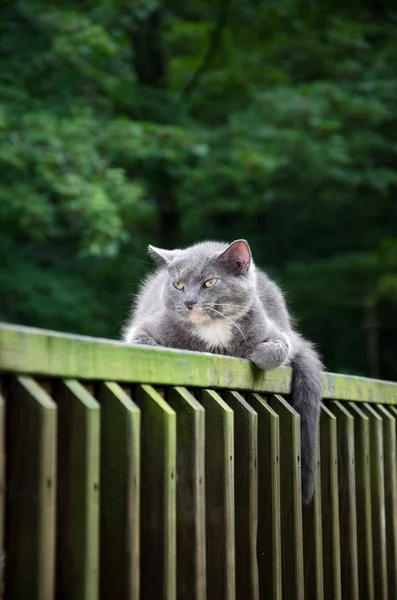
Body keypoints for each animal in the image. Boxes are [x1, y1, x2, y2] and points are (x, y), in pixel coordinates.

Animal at [124, 239, 322, 502]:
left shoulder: (275, 331)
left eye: (209, 282)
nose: (189, 302)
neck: (213, 328)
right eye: (178, 285)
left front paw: (253, 354)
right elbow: (147, 344)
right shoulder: (143, 328)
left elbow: (278, 348)